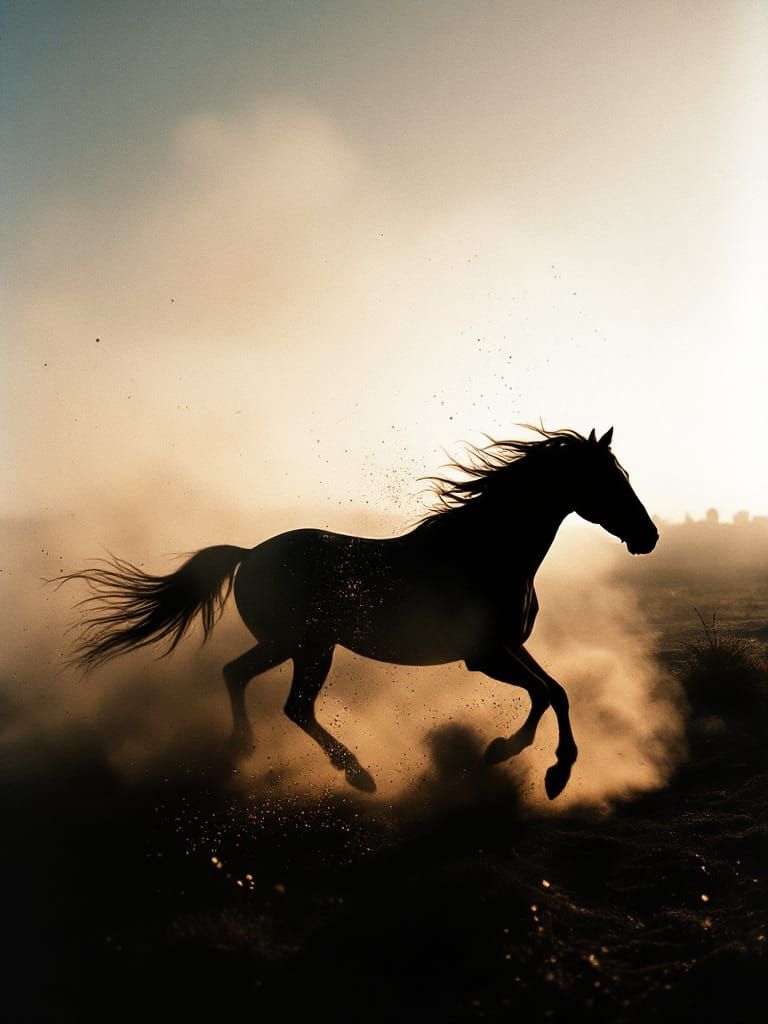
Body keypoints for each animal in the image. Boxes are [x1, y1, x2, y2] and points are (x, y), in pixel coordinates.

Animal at [59, 426, 658, 799]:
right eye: (609, 480)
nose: (648, 537)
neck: (485, 552)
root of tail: (249, 554)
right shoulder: (484, 656)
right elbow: (546, 693)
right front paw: (537, 764)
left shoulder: (510, 647)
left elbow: (553, 691)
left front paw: (530, 761)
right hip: (308, 647)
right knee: (294, 707)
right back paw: (357, 774)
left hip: (288, 645)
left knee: (236, 675)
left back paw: (244, 747)